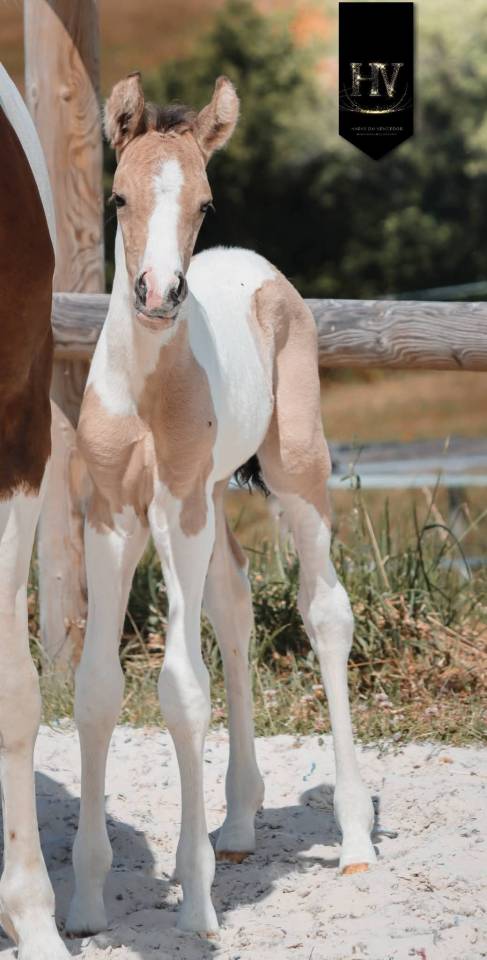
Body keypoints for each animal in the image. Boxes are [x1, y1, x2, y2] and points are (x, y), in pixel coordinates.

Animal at [67, 72, 376, 938]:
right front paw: (87, 904)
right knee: (233, 606)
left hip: (293, 472)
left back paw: (352, 842)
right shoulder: (111, 515)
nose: (158, 294)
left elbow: (180, 690)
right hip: (210, 502)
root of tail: (255, 265)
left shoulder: (176, 510)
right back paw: (235, 824)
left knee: (324, 610)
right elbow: (97, 689)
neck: (145, 384)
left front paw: (197, 905)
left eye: (204, 203)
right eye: (119, 197)